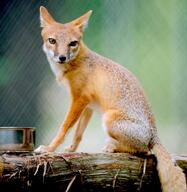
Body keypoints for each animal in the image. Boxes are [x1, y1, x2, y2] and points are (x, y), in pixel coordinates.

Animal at [34, 6, 186, 192]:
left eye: (73, 43)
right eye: (52, 41)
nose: (62, 57)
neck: (77, 62)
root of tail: (154, 136)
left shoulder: (78, 99)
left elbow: (64, 128)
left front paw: (49, 148)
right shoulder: (88, 105)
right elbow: (78, 134)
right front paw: (71, 149)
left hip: (109, 119)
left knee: (143, 151)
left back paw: (111, 147)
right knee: (144, 151)